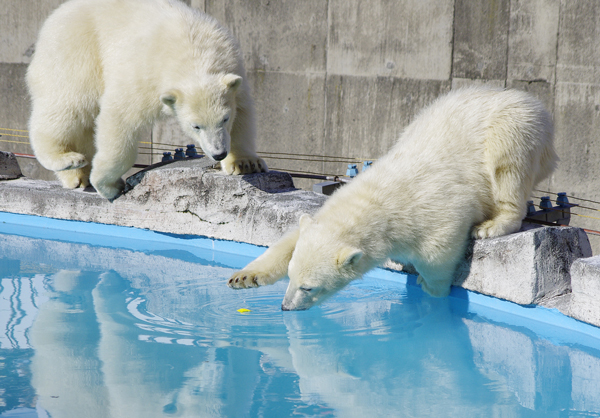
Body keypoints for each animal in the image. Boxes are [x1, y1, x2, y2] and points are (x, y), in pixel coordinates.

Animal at [25, 0, 264, 201]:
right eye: (196, 126)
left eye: (225, 119)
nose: (218, 153)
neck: (192, 48)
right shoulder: (144, 74)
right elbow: (120, 117)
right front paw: (109, 185)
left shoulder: (233, 67)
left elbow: (244, 113)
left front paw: (245, 163)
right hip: (74, 50)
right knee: (67, 105)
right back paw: (69, 159)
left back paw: (77, 176)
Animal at [227, 87, 556, 310]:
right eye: (291, 277)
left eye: (308, 288)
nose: (285, 307)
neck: (378, 199)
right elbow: (290, 239)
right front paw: (244, 277)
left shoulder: (435, 210)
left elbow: (438, 251)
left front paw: (429, 286)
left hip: (517, 126)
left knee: (508, 166)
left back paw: (492, 226)